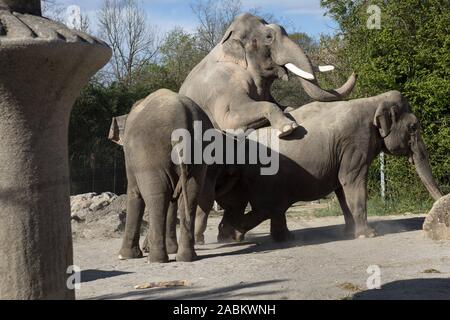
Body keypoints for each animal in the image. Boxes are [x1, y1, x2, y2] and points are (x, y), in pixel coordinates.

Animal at [116, 88, 214, 262]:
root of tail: (181, 114)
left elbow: (134, 193)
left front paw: (125, 256)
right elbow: (173, 199)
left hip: (150, 152)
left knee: (157, 197)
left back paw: (155, 259)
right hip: (200, 149)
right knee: (190, 194)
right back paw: (186, 257)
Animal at [178, 12, 356, 138]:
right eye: (269, 37)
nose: (354, 72)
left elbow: (283, 105)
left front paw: (288, 111)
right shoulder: (221, 86)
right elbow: (229, 120)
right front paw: (287, 128)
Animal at [194, 90, 442, 242]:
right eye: (413, 127)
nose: (441, 203)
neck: (373, 101)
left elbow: (342, 188)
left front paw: (349, 232)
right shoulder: (356, 142)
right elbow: (351, 181)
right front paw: (368, 235)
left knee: (262, 208)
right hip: (263, 179)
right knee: (268, 208)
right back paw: (233, 235)